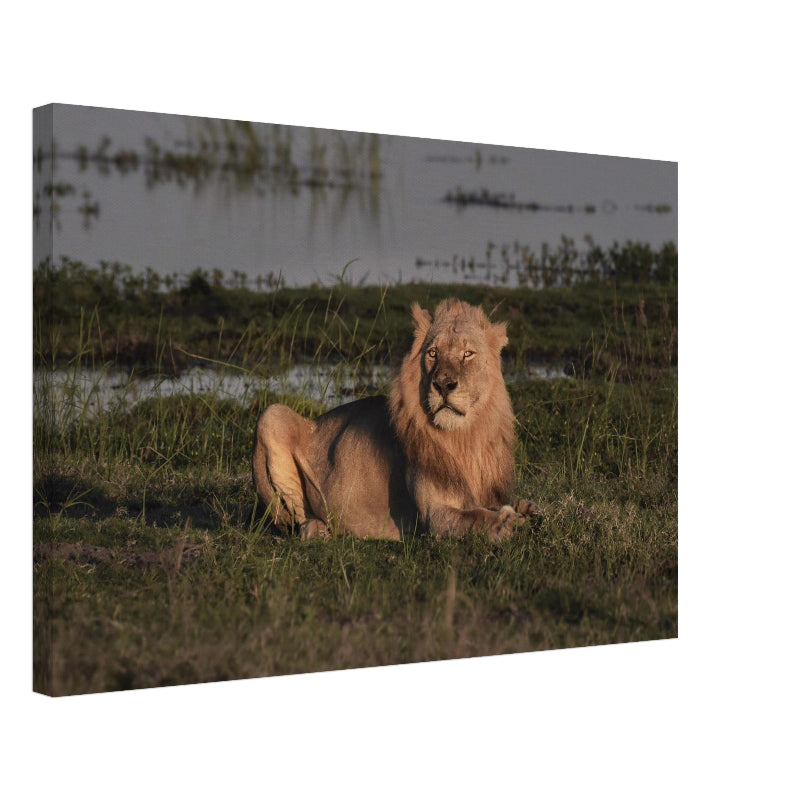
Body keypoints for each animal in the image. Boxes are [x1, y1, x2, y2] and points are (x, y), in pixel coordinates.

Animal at [252, 299, 540, 541]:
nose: (443, 385)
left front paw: (526, 508)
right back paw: (319, 529)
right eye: (433, 353)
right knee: (298, 522)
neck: (466, 437)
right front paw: (506, 522)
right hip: (272, 415)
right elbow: (476, 517)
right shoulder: (434, 517)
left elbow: (496, 505)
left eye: (468, 353)